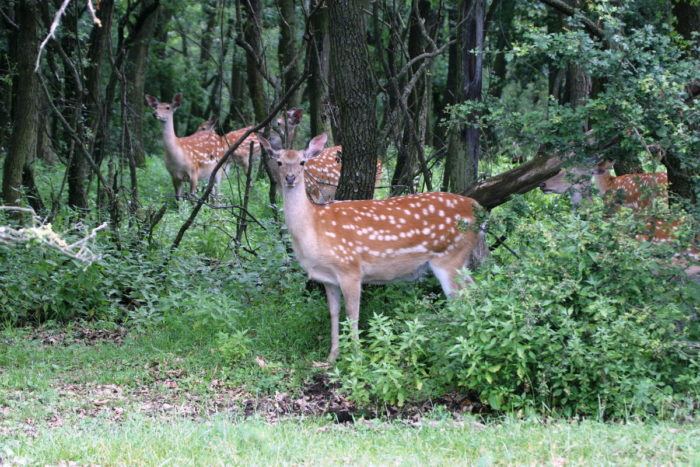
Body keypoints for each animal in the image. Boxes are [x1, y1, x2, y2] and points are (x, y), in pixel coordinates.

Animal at [260, 133, 490, 364]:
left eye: (302, 162)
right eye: (279, 162)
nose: (290, 178)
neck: (313, 229)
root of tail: (480, 210)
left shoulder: (350, 268)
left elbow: (353, 313)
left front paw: (356, 356)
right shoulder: (327, 278)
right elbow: (334, 312)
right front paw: (331, 357)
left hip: (449, 256)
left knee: (460, 299)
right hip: (459, 260)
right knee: (474, 290)